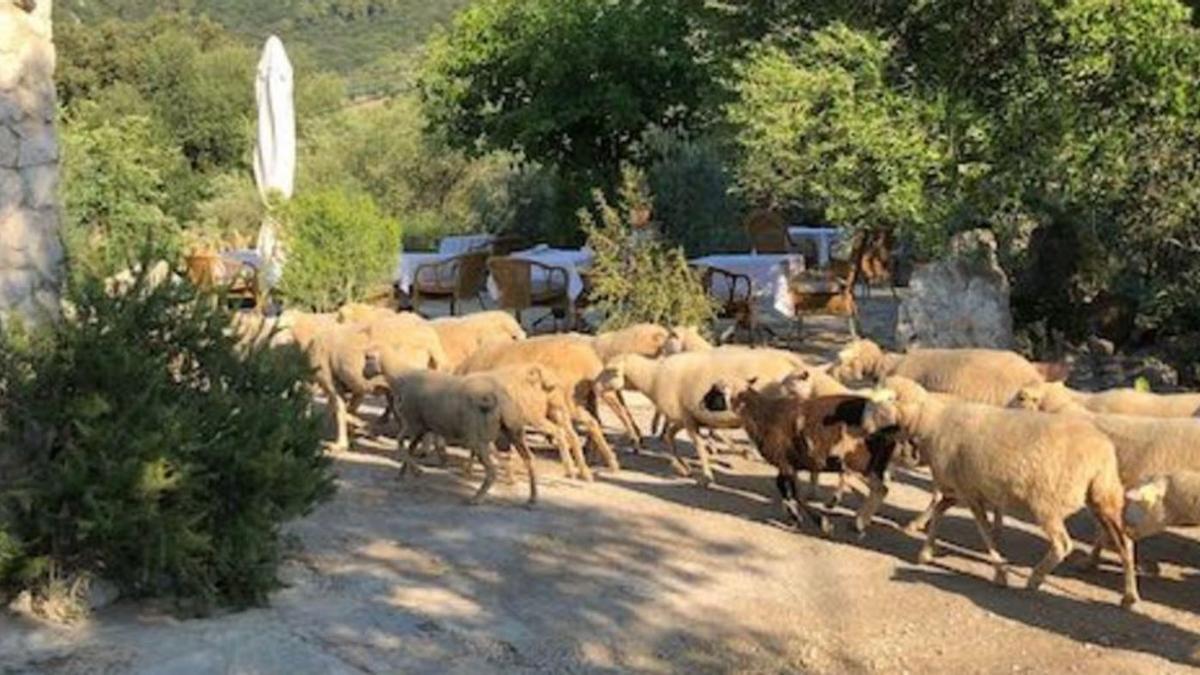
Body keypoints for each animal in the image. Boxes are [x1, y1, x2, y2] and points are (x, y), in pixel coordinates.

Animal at [864, 379, 1132, 605]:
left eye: (880, 403)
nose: (865, 428)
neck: (932, 422)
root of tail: (1101, 453)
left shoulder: (971, 495)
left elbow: (985, 534)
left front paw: (1000, 573)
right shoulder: (962, 491)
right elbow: (940, 511)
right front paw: (926, 553)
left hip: (1046, 504)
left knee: (1063, 545)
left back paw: (1035, 579)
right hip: (1104, 498)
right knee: (1125, 543)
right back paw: (1129, 597)